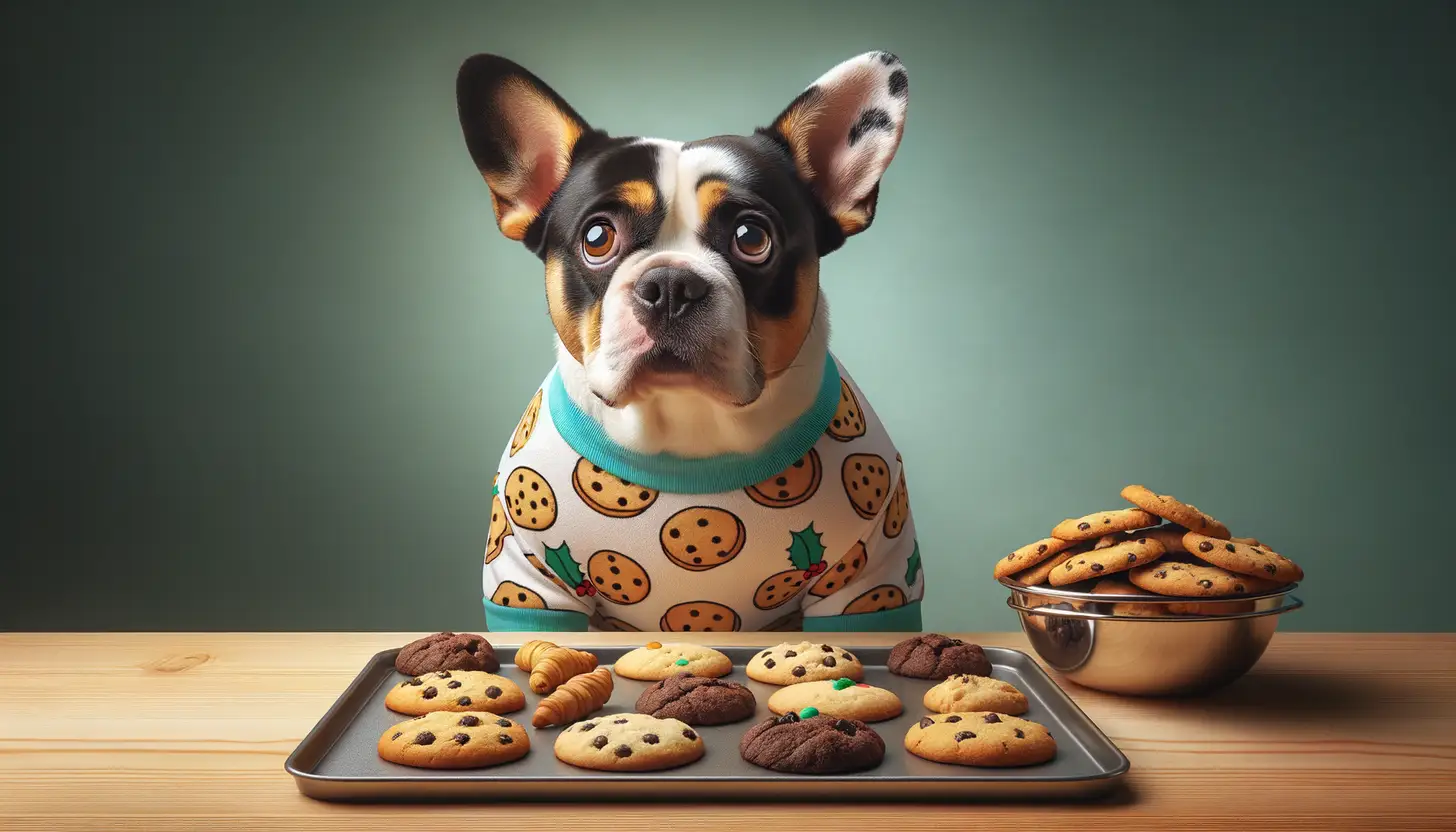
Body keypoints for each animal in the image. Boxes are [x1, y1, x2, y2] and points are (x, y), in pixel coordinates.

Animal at [465, 52, 920, 635]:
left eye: (752, 238)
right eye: (597, 238)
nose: (671, 285)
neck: (687, 427)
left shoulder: (871, 578)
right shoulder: (527, 582)